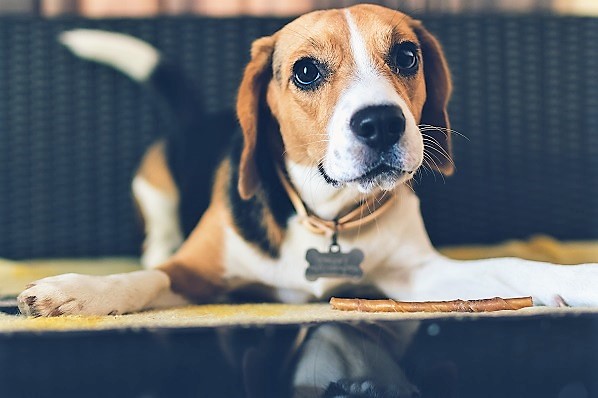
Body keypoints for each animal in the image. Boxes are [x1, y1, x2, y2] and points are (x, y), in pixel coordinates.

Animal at [16, 2, 598, 314]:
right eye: (305, 71)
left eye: (407, 55)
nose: (381, 123)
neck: (326, 214)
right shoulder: (194, 270)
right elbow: (147, 279)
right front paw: (78, 292)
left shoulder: (419, 276)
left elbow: (511, 266)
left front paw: (578, 280)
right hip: (152, 185)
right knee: (157, 240)